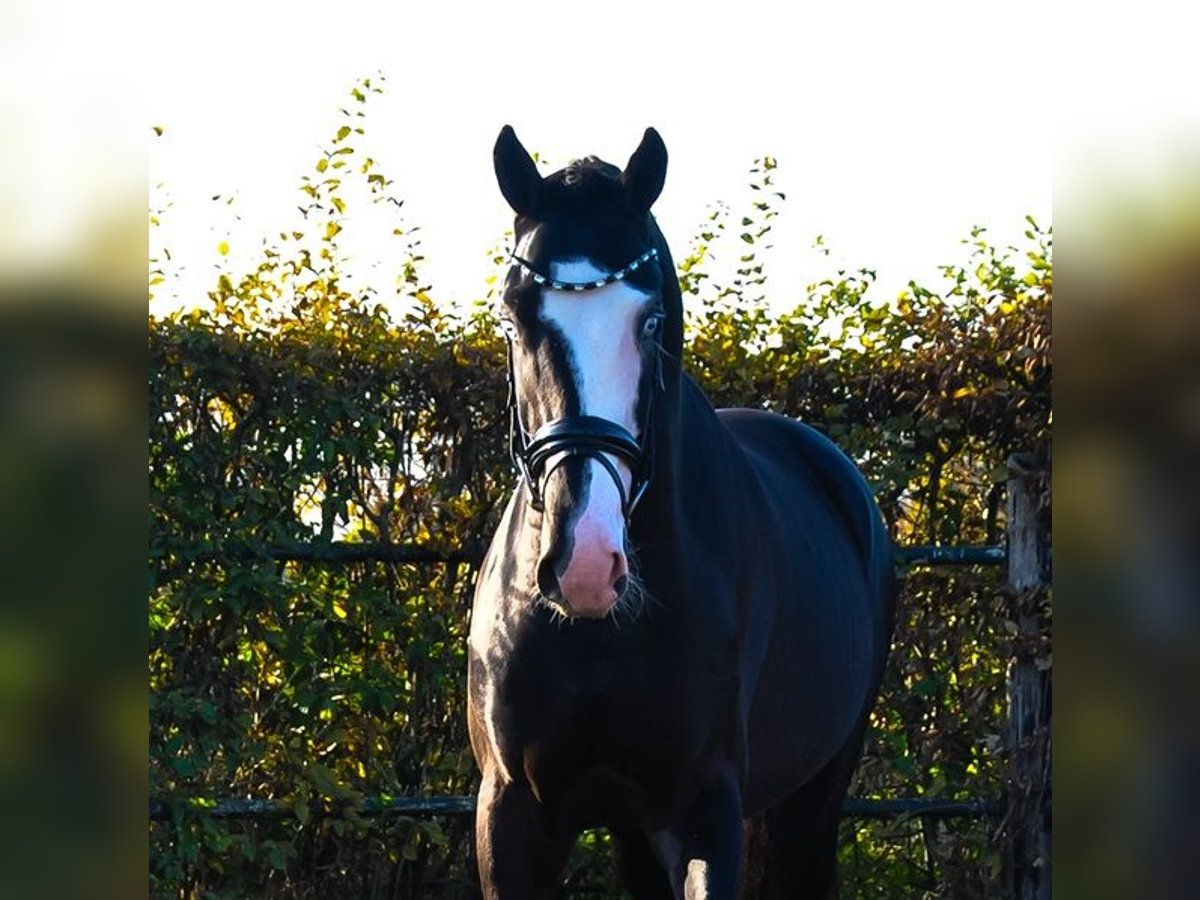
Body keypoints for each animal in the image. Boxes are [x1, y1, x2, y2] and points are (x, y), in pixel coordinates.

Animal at [463, 127, 897, 900]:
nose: (586, 564)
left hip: (814, 798)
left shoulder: (703, 812)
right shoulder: (512, 814)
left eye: (652, 320)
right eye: (513, 318)